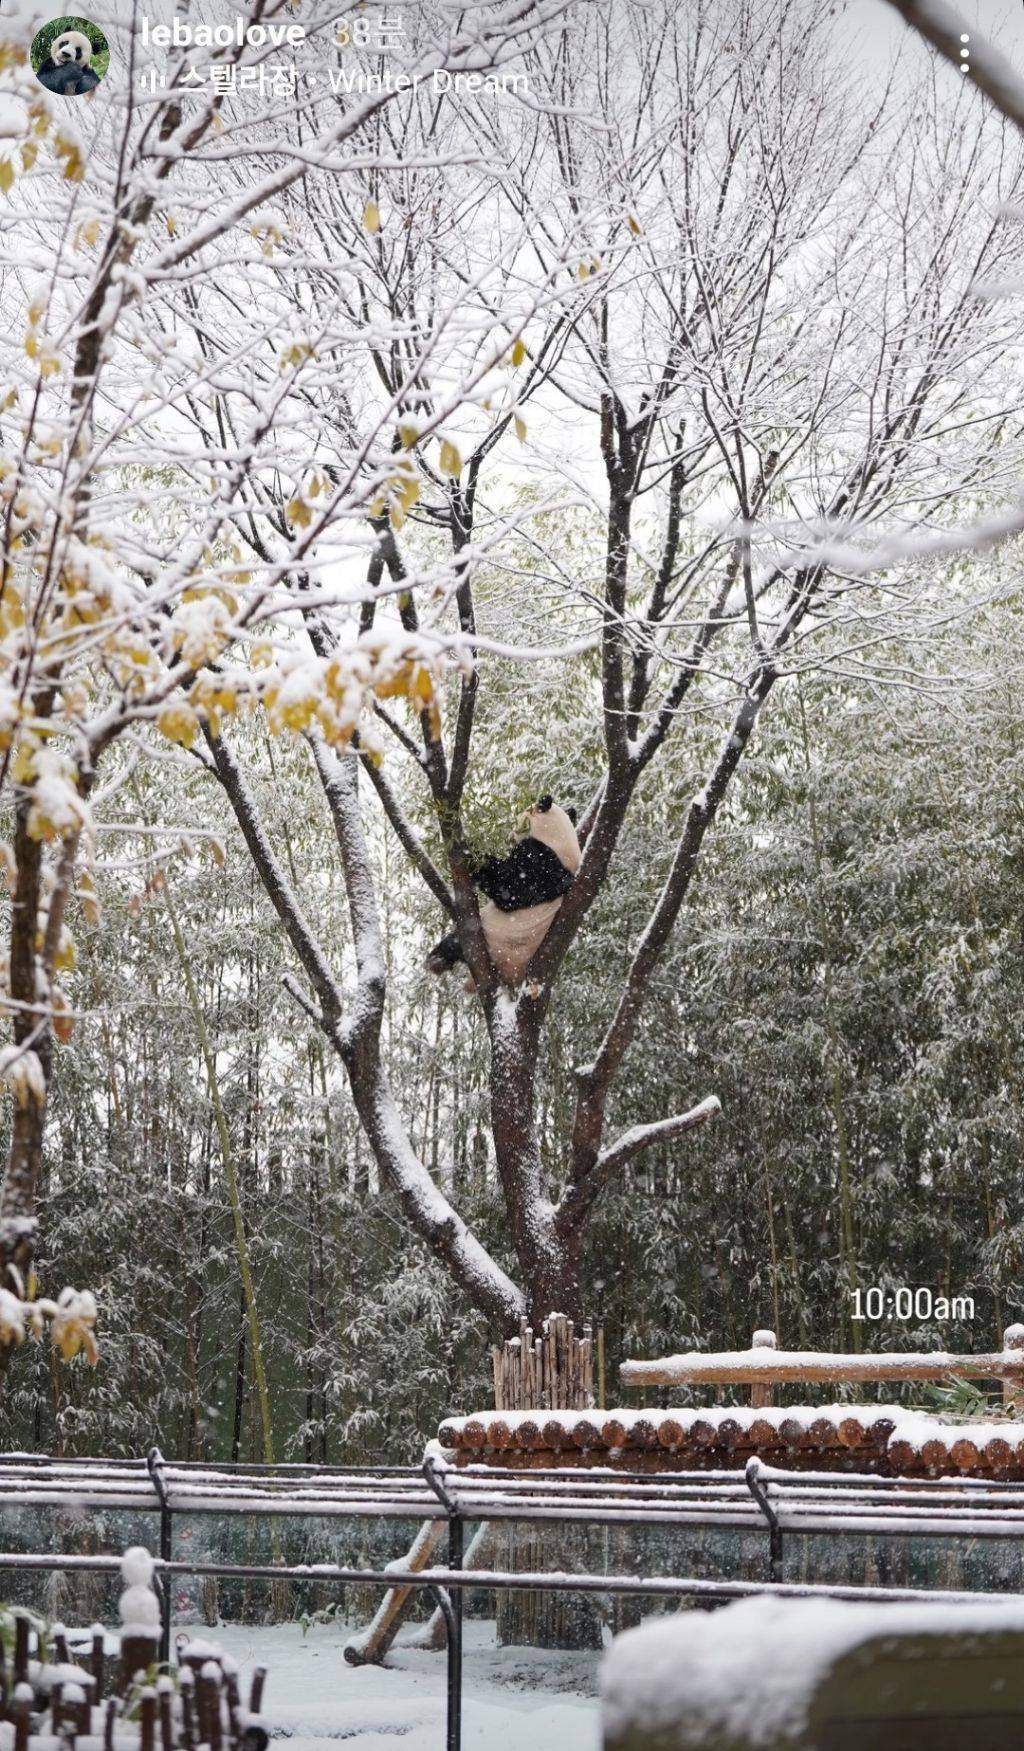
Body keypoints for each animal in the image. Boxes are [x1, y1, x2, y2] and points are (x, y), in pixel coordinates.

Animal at [425, 794, 584, 987]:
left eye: (517, 821)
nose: (508, 837)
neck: (558, 837)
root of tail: (510, 976)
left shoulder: (542, 864)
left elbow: (509, 888)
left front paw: (470, 848)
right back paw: (437, 961)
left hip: (496, 942)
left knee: (456, 941)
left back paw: (437, 960)